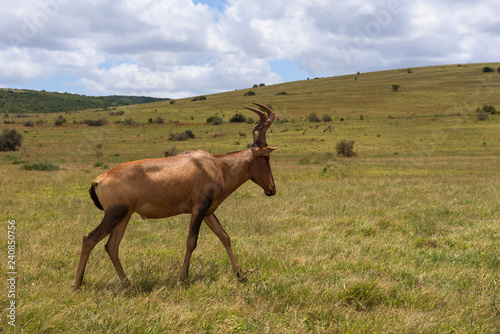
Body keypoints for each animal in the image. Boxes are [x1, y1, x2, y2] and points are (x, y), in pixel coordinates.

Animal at [72, 103, 278, 288]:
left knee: (112, 246)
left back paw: (127, 282)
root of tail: (99, 180)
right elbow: (191, 241)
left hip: (124, 217)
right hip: (115, 215)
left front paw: (240, 274)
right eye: (266, 157)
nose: (272, 189)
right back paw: (77, 284)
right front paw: (183, 278)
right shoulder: (199, 209)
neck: (215, 165)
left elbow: (224, 236)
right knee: (89, 239)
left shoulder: (208, 212)